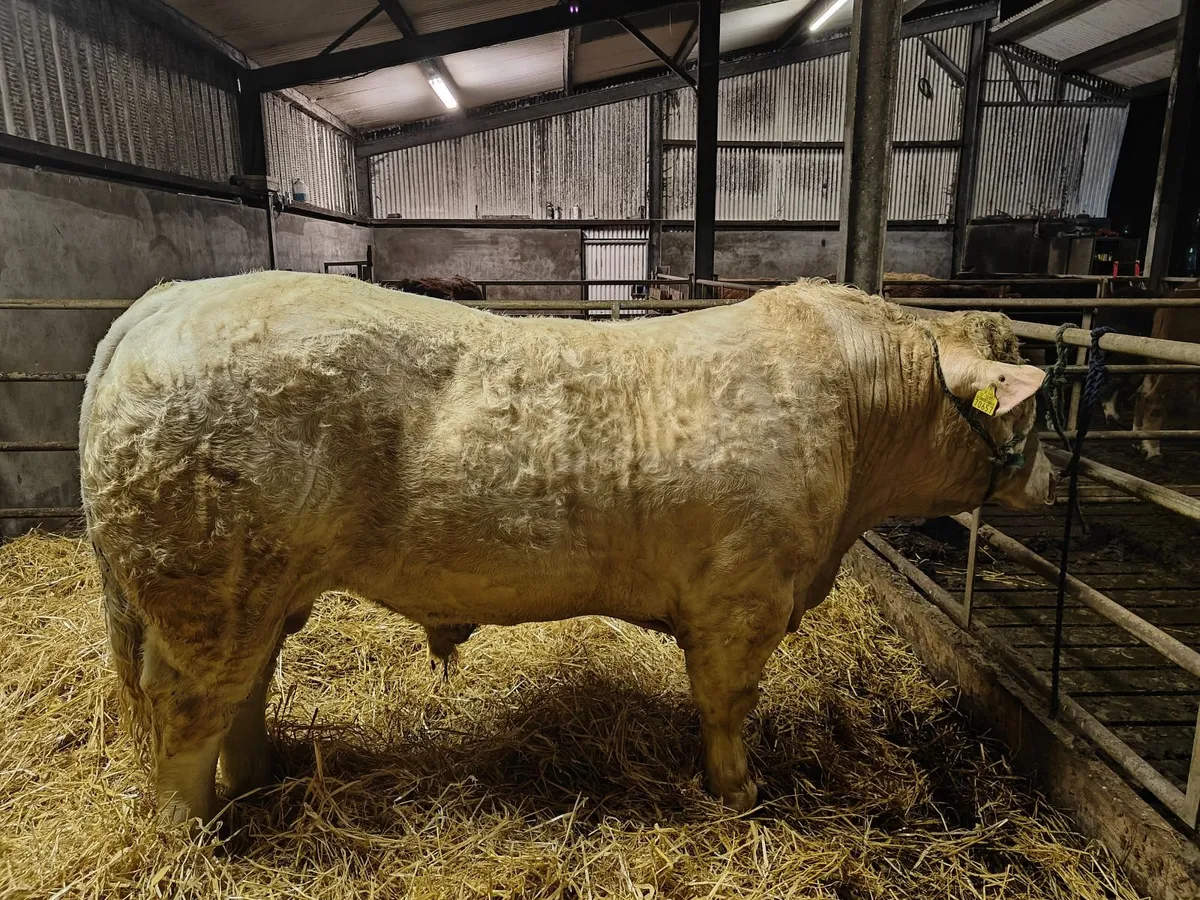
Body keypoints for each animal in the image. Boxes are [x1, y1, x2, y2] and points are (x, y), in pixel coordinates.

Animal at [79, 271, 1056, 827]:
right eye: (1033, 405)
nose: (1047, 481)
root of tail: (167, 300)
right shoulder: (744, 598)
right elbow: (727, 705)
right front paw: (739, 795)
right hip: (205, 590)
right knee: (189, 712)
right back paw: (193, 832)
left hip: (257, 594)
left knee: (242, 695)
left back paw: (255, 784)